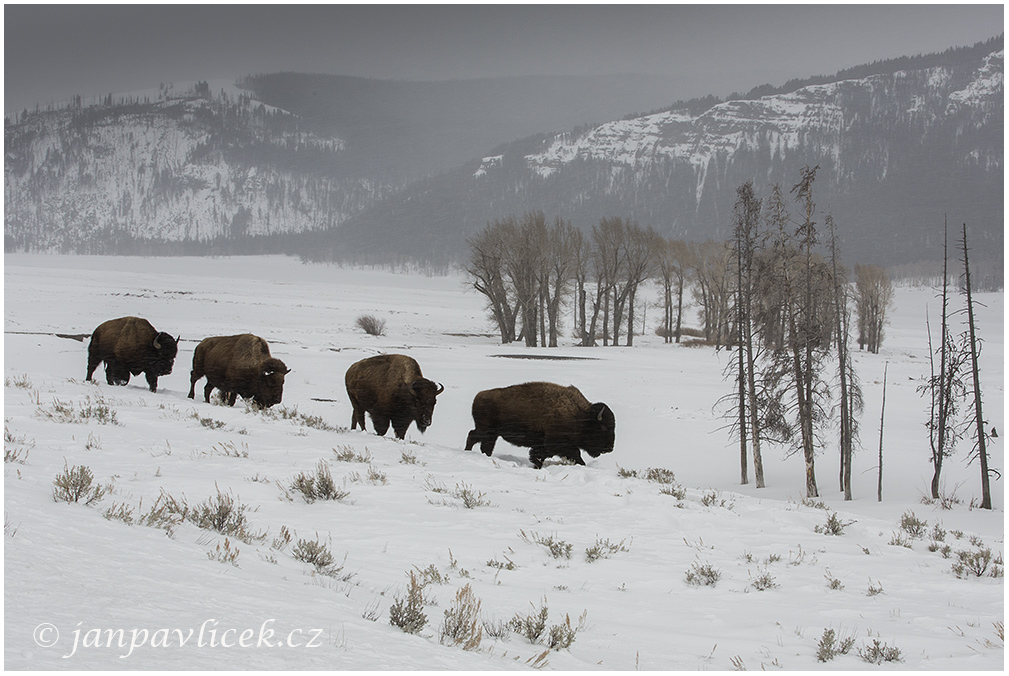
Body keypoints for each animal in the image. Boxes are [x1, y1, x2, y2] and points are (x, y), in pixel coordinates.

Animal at [464, 381, 613, 472]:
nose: (610, 448)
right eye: (603, 427)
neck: (580, 416)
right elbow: (576, 454)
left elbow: (538, 455)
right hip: (487, 431)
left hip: (491, 433)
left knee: (479, 441)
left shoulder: (544, 445)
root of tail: (478, 396)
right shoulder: (556, 444)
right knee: (476, 438)